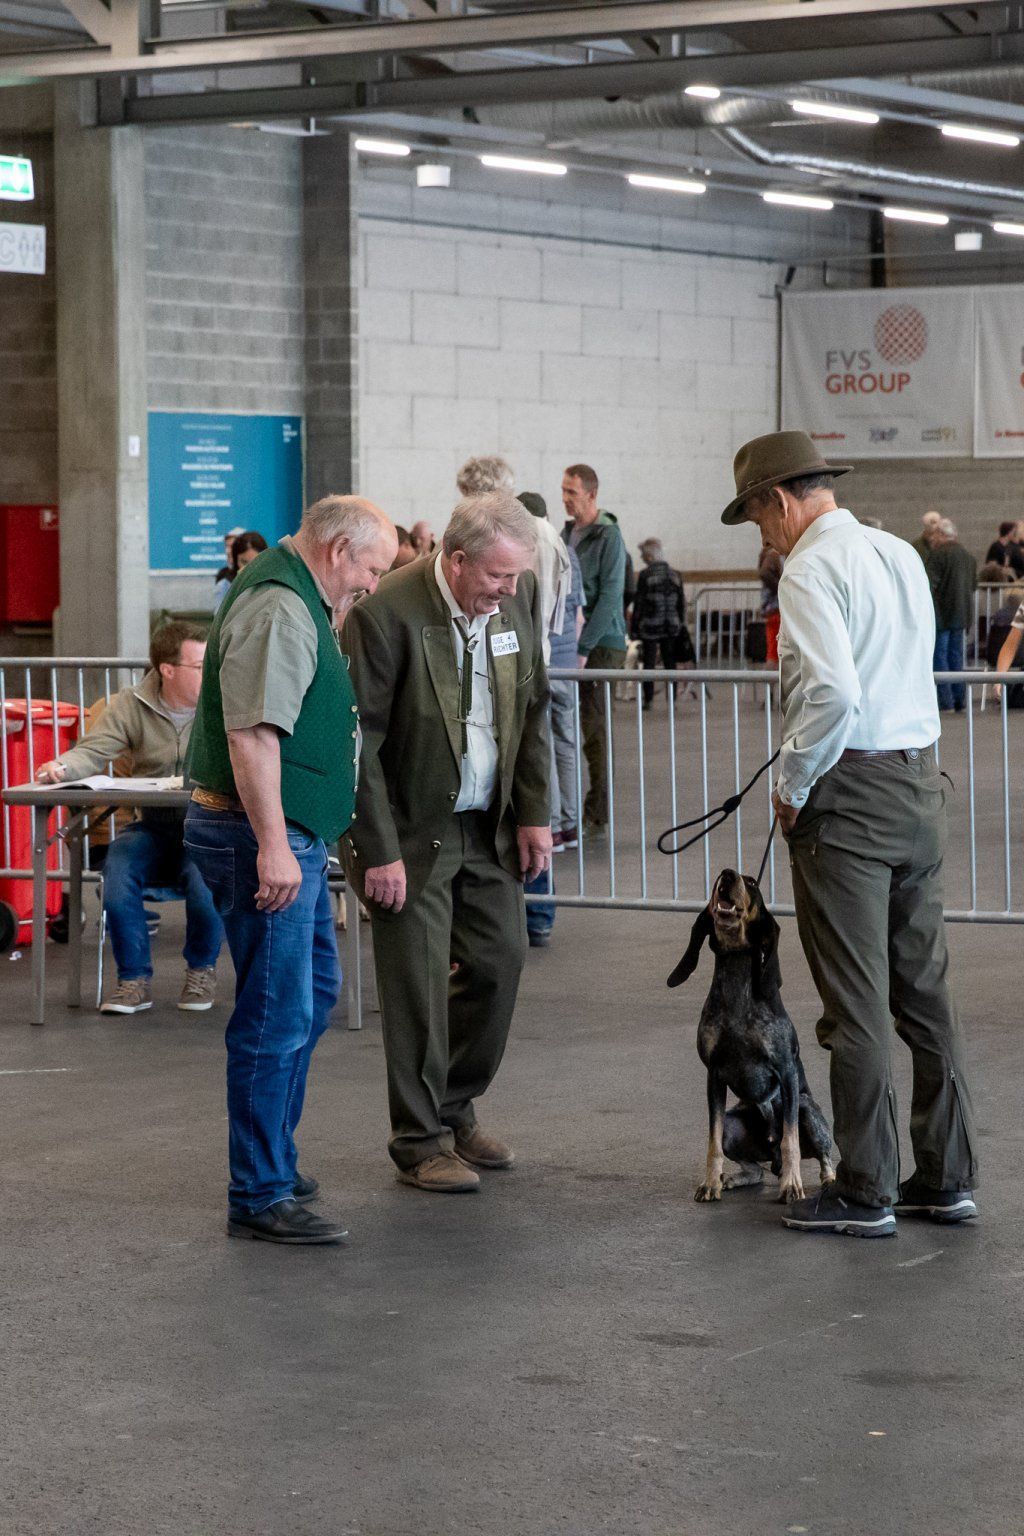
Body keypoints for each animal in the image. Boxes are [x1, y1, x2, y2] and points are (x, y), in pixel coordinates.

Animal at [669, 872, 835, 1204]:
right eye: (718, 878)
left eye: (752, 884)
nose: (727, 873)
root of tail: (771, 1159)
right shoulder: (714, 1075)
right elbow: (712, 1143)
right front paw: (711, 1183)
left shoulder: (786, 1073)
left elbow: (790, 1140)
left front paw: (792, 1185)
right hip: (734, 1125)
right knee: (756, 1169)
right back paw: (734, 1178)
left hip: (808, 1111)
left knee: (822, 1153)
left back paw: (826, 1180)